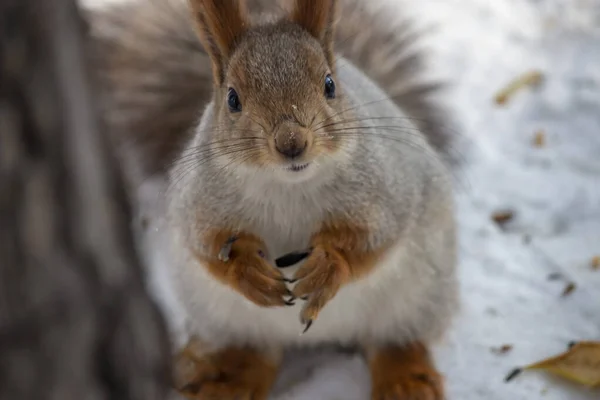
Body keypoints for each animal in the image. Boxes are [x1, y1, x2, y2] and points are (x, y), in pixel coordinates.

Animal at [88, 0, 460, 400]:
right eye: (232, 99)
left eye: (329, 85)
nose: (291, 142)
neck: (288, 187)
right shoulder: (198, 204)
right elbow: (205, 248)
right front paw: (246, 268)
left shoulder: (387, 191)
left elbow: (372, 242)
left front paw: (328, 264)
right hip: (224, 317)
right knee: (255, 350)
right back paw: (228, 378)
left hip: (418, 296)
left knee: (395, 341)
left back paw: (405, 380)